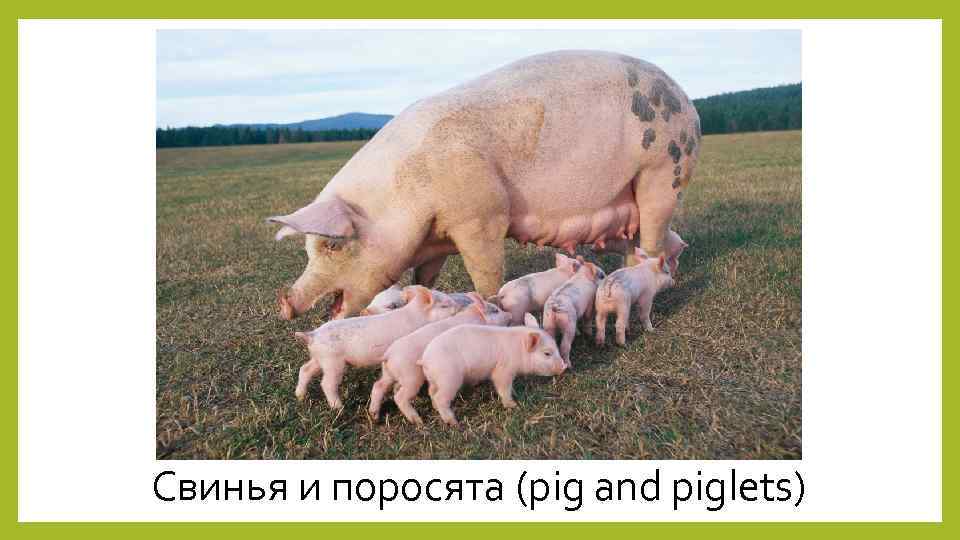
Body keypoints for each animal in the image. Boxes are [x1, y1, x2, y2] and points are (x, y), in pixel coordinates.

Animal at [268, 51, 700, 320]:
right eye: (309, 249)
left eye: (333, 245)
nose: (285, 303)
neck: (398, 198)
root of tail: (685, 98)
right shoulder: (435, 235)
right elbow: (424, 276)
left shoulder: (482, 214)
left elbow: (486, 270)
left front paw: (491, 305)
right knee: (657, 241)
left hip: (664, 169)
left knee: (652, 240)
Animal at [292, 285, 459, 409]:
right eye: (444, 305)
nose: (459, 307)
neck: (418, 315)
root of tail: (312, 335)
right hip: (333, 362)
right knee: (326, 383)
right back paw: (339, 407)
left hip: (319, 358)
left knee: (305, 369)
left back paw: (300, 396)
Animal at [369, 294, 512, 425]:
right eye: (495, 310)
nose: (510, 315)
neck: (476, 317)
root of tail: (388, 354)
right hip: (411, 377)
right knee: (400, 397)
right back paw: (419, 421)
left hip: (388, 374)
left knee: (378, 386)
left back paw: (374, 416)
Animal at [419, 313, 566, 426]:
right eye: (547, 353)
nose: (564, 367)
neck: (519, 349)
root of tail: (425, 359)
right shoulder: (503, 369)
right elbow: (502, 386)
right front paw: (513, 405)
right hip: (449, 378)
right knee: (440, 397)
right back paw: (453, 422)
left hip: (434, 380)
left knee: (431, 392)